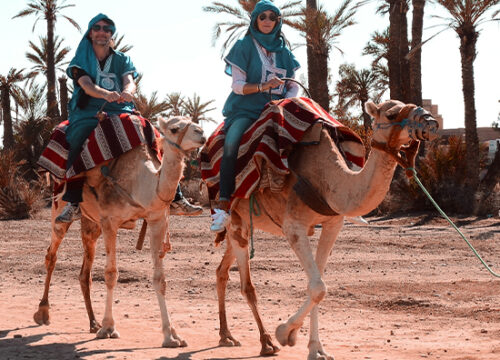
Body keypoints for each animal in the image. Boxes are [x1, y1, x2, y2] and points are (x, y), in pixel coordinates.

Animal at [33, 114, 205, 346]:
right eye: (175, 128)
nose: (201, 134)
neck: (139, 181)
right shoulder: (110, 221)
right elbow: (111, 274)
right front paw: (109, 328)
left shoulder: (157, 219)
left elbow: (160, 279)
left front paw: (171, 336)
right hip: (59, 208)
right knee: (51, 254)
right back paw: (43, 312)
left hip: (91, 225)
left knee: (84, 272)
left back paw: (92, 322)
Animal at [213, 97, 440, 358]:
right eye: (391, 114)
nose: (431, 123)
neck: (327, 177)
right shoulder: (294, 226)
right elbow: (318, 287)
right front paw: (285, 333)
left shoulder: (333, 224)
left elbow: (318, 283)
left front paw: (316, 349)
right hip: (235, 219)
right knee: (246, 285)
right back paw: (266, 342)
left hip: (241, 226)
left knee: (222, 271)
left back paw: (226, 336)